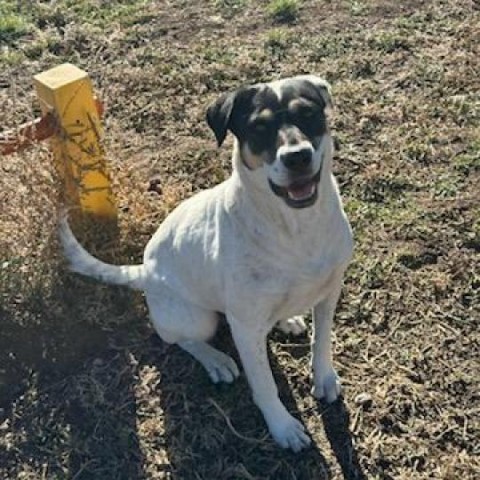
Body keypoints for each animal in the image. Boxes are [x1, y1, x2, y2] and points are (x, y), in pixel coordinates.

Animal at [59, 74, 352, 450]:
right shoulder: (245, 327)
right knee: (179, 339)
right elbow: (264, 385)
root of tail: (144, 271)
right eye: (258, 128)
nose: (298, 157)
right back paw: (216, 359)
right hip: (198, 319)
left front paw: (324, 377)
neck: (297, 226)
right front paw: (282, 426)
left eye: (309, 114)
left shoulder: (329, 292)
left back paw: (287, 319)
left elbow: (322, 341)